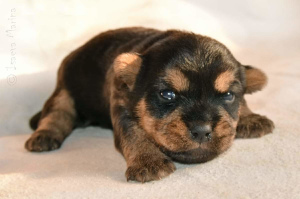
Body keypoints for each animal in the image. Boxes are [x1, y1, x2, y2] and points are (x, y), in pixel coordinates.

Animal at [25, 27, 274, 183]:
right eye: (167, 94)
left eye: (228, 95)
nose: (202, 131)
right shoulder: (122, 107)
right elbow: (135, 134)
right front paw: (148, 161)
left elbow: (244, 100)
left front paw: (250, 117)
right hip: (65, 89)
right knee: (56, 113)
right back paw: (44, 135)